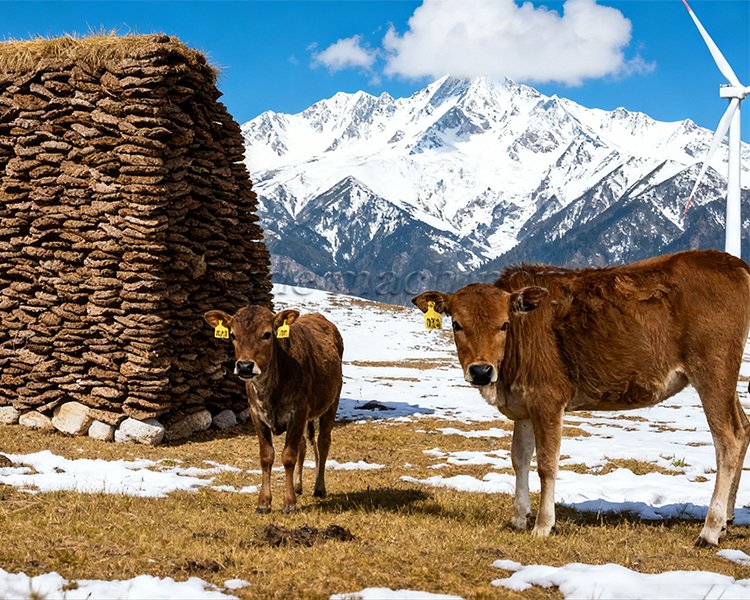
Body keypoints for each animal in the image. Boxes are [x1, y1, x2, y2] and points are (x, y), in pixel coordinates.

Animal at [204, 306, 344, 513]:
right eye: (233, 335)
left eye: (267, 334)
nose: (244, 366)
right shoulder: (256, 414)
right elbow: (267, 456)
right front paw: (264, 502)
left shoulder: (298, 412)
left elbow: (288, 456)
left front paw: (289, 503)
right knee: (303, 444)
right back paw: (298, 485)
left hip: (332, 402)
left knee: (323, 443)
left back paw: (319, 488)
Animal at [413, 249, 750, 546]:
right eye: (457, 324)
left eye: (503, 324)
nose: (481, 371)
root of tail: (732, 263)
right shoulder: (525, 405)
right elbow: (519, 458)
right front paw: (519, 517)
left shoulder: (548, 398)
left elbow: (547, 463)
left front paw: (543, 525)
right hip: (724, 379)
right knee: (744, 427)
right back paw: (727, 519)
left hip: (712, 370)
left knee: (728, 439)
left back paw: (709, 530)